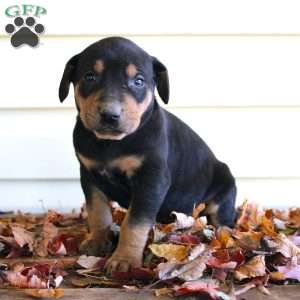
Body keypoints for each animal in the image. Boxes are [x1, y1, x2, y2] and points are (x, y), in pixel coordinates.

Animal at [58, 36, 237, 274]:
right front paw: (97, 240)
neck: (111, 144)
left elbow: (134, 223)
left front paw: (124, 259)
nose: (110, 114)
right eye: (90, 77)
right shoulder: (88, 175)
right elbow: (98, 211)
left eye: (139, 81)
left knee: (223, 221)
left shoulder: (151, 179)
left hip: (223, 191)